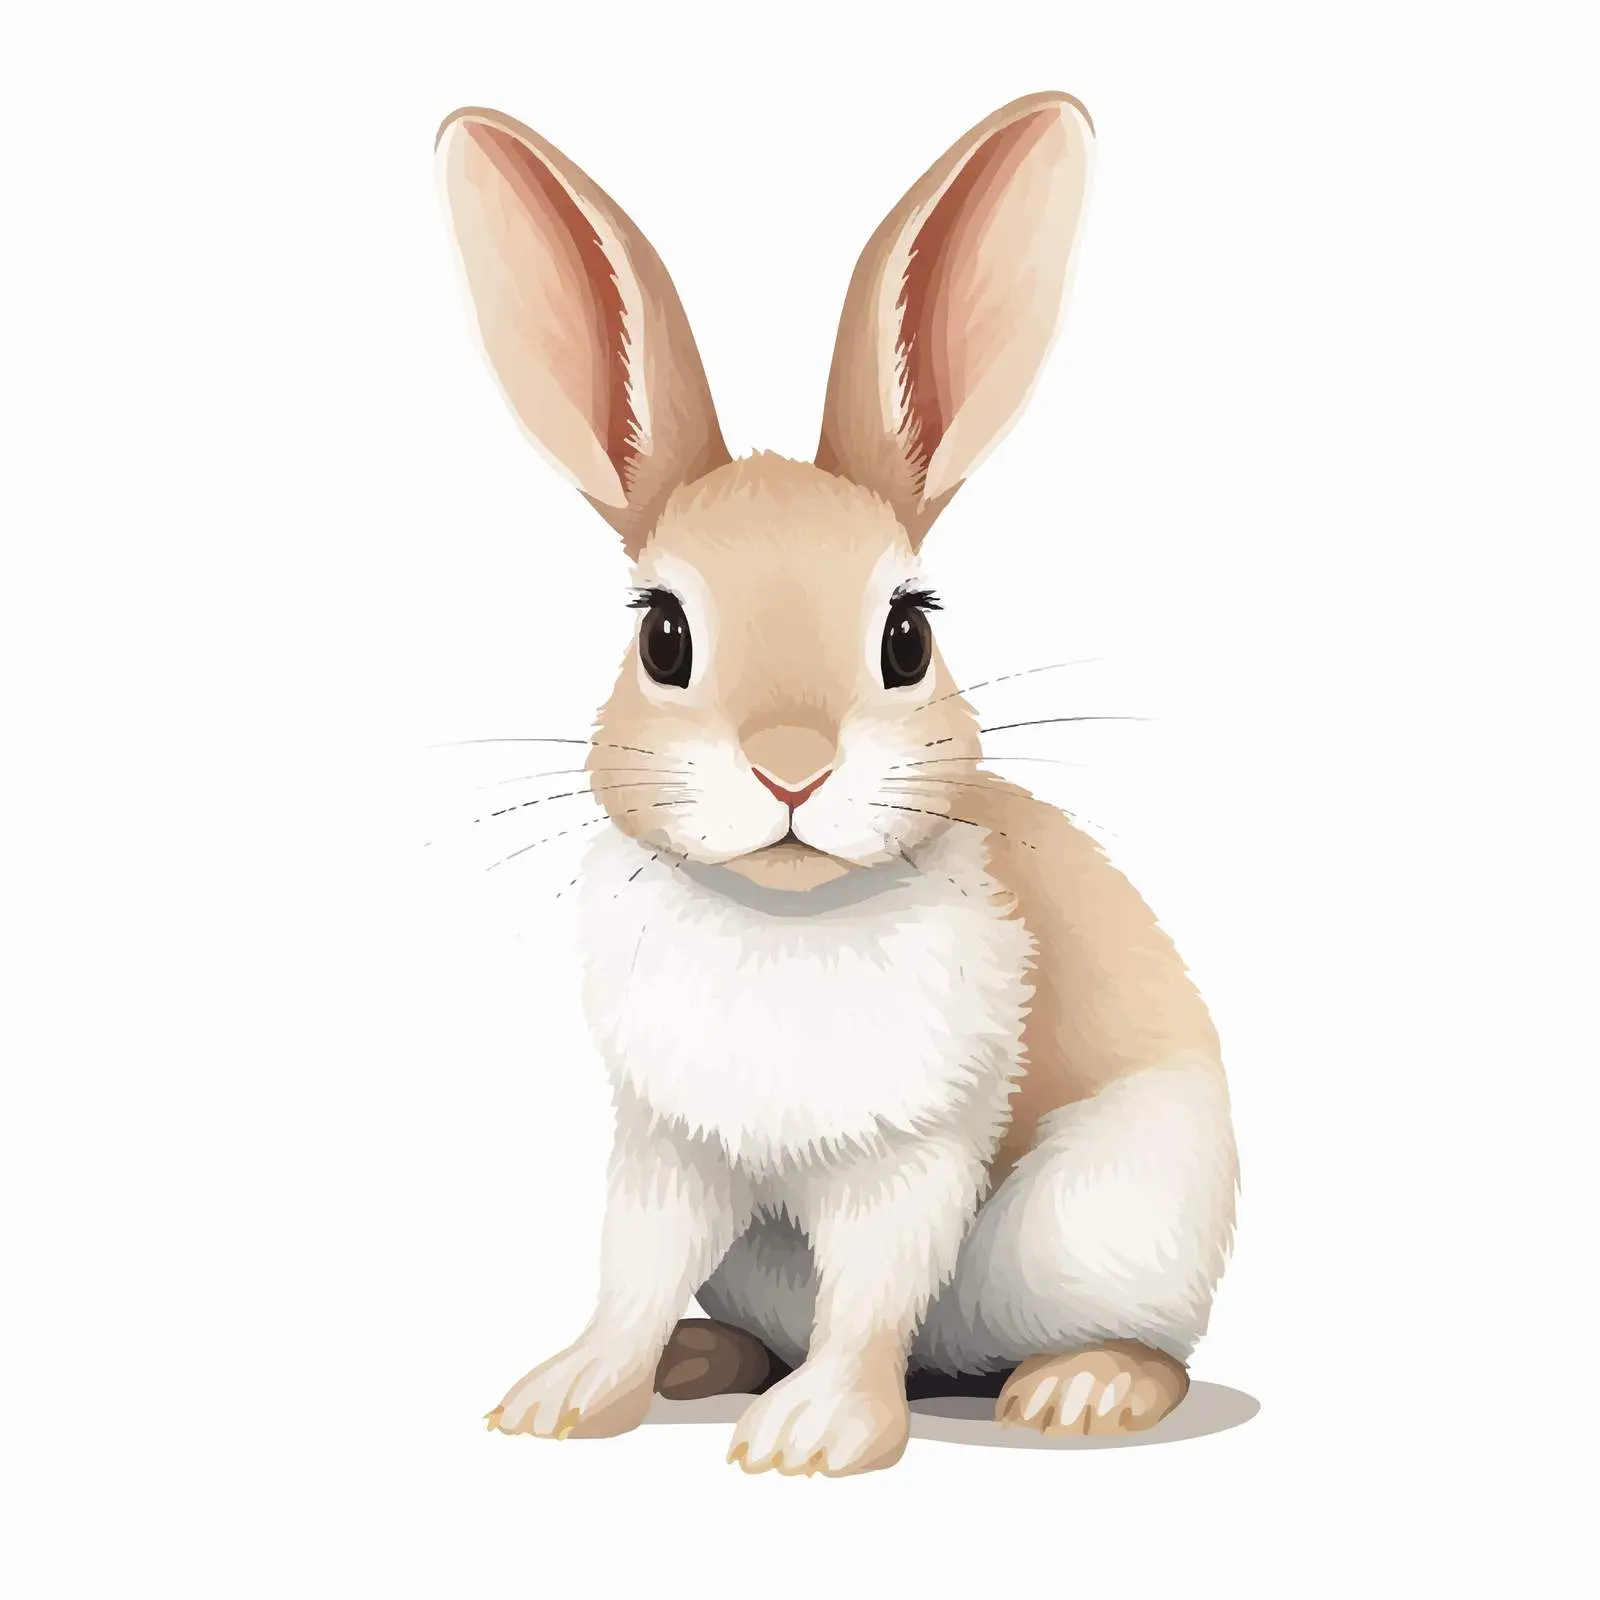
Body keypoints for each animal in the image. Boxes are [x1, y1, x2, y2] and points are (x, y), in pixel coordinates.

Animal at [437, 90, 1237, 1476]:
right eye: (663, 635)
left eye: (907, 635)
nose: (792, 769)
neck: (781, 913)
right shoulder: (668, 1149)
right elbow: (631, 1273)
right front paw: (563, 1398)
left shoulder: (907, 1155)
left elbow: (869, 1293)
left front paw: (810, 1438)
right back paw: (700, 1361)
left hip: (1117, 1216)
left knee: (1142, 1343)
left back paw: (1081, 1390)